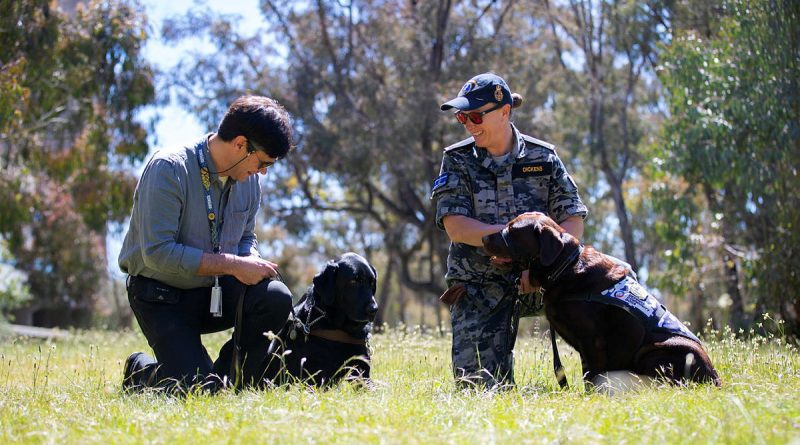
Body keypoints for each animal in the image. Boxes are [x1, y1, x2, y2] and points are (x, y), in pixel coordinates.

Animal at [260, 251, 378, 386]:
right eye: (354, 281)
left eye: (372, 282)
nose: (374, 309)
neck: (339, 328)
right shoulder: (314, 379)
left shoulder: (363, 375)